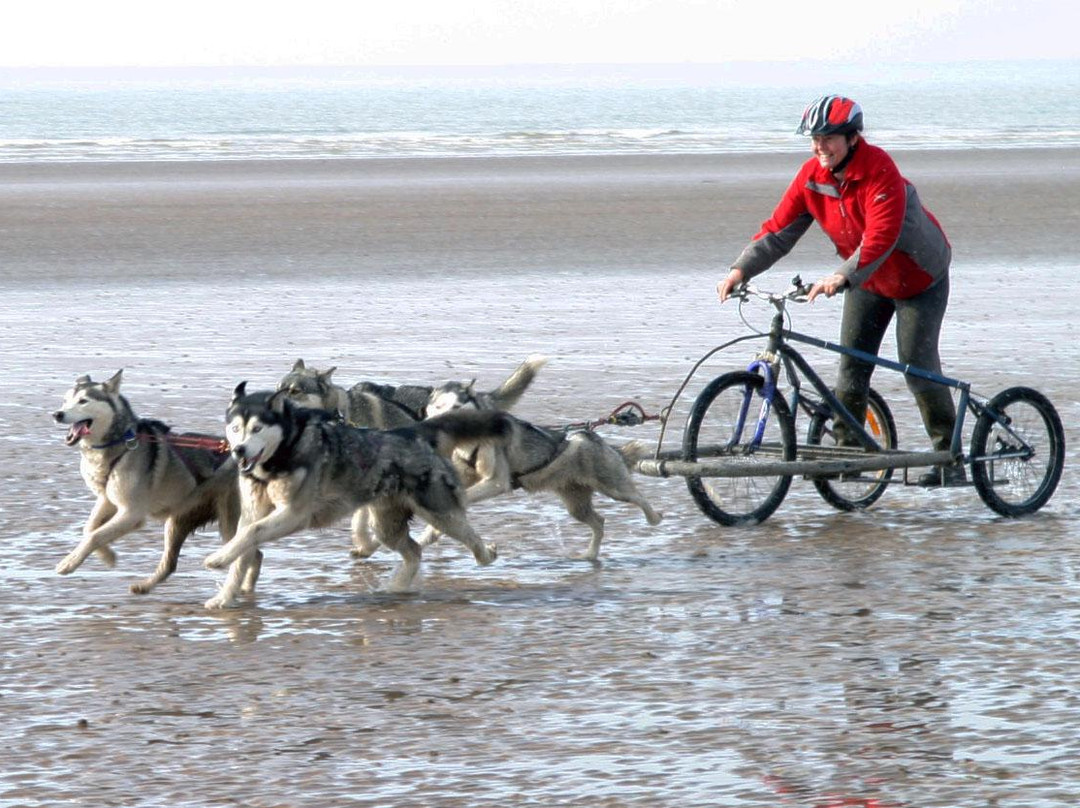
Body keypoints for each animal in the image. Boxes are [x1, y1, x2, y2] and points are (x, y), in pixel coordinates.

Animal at [52, 371, 240, 591]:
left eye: (83, 401)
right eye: (65, 401)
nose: (57, 414)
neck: (120, 444)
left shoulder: (131, 512)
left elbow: (95, 535)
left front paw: (69, 562)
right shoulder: (107, 499)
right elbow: (89, 529)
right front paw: (108, 556)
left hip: (228, 521)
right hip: (178, 520)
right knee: (171, 563)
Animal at [203, 384, 514, 604]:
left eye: (257, 428)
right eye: (235, 428)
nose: (239, 450)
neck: (284, 451)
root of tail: (413, 431)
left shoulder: (294, 514)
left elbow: (251, 533)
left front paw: (218, 558)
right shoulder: (253, 512)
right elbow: (243, 547)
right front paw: (223, 597)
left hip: (439, 512)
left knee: (469, 537)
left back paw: (486, 554)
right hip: (386, 523)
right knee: (413, 551)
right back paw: (397, 587)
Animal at [278, 356, 548, 557]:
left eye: (295, 391)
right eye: (279, 388)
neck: (340, 414)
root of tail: (479, 397)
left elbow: (361, 516)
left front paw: (365, 543)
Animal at [425, 393, 660, 561]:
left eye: (456, 406)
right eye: (437, 406)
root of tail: (598, 439)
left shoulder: (495, 482)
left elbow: (465, 496)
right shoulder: (465, 476)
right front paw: (431, 533)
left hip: (614, 488)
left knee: (639, 498)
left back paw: (655, 517)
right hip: (576, 506)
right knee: (599, 522)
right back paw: (590, 554)